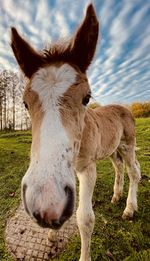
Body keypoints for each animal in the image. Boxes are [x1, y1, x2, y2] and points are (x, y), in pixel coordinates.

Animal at [10, 4, 141, 260]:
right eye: (25, 103)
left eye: (86, 98)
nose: (45, 204)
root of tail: (123, 107)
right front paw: (52, 234)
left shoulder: (87, 168)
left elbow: (85, 219)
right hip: (112, 149)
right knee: (119, 168)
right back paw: (116, 196)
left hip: (128, 144)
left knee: (134, 171)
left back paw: (129, 209)